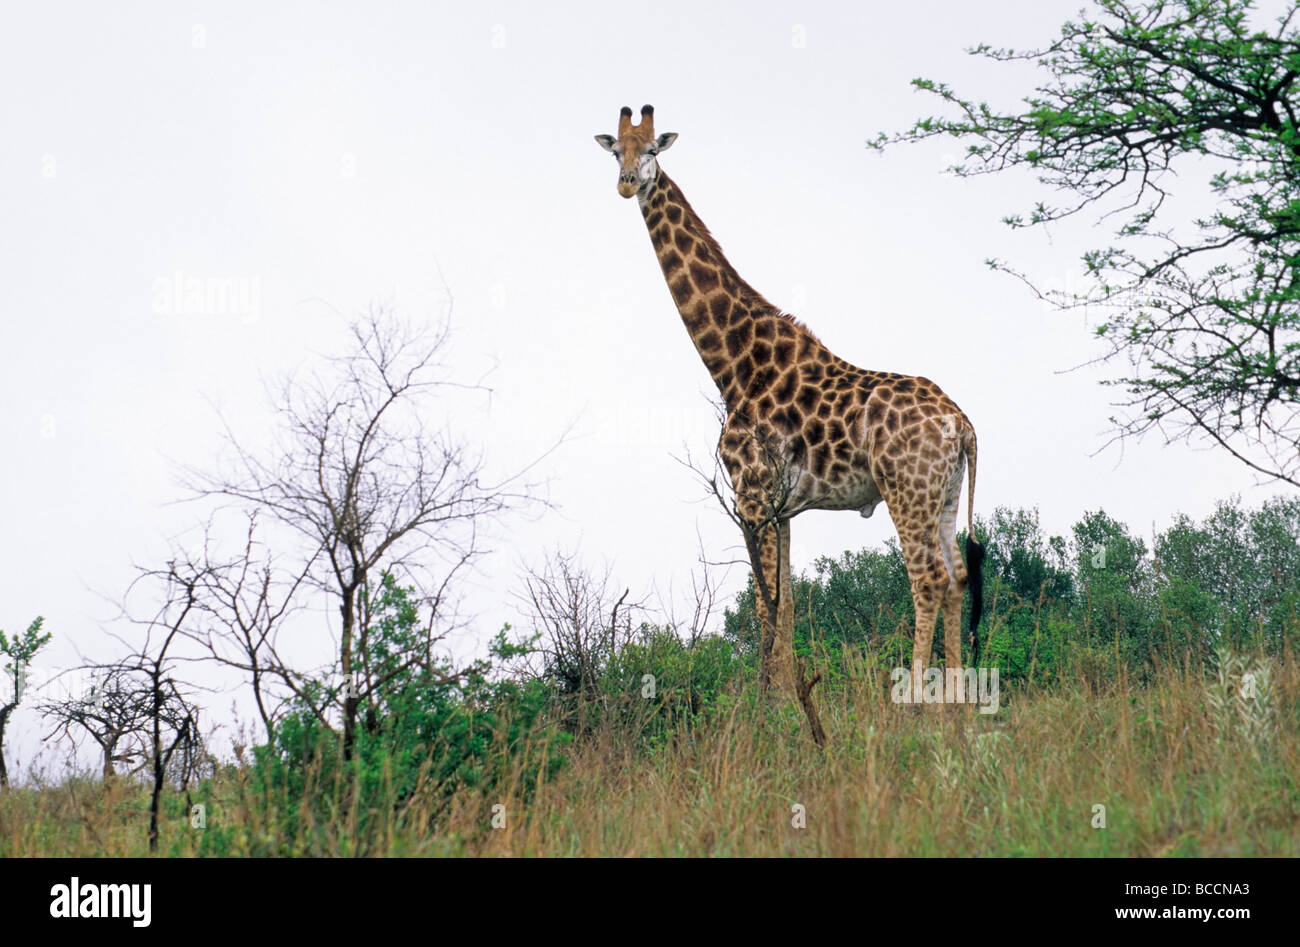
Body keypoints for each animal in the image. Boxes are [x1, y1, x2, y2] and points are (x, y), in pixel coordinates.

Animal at [598, 107, 982, 697]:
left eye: (653, 151)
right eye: (616, 151)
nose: (625, 184)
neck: (734, 363)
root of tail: (962, 424)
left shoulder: (751, 492)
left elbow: (764, 607)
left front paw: (769, 705)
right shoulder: (783, 507)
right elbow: (788, 608)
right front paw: (784, 699)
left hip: (906, 488)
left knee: (928, 580)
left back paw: (917, 702)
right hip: (944, 491)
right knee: (957, 576)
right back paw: (955, 704)